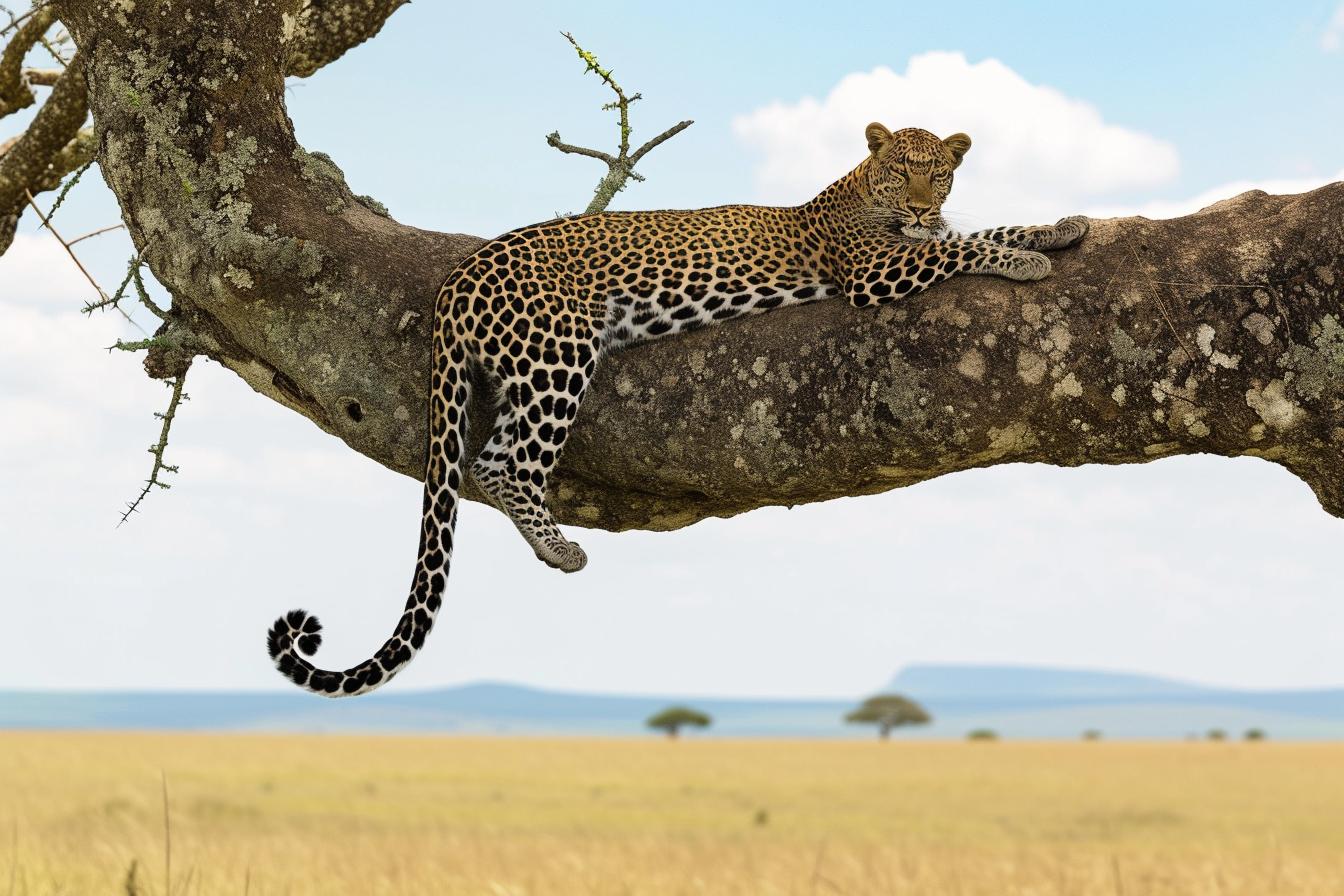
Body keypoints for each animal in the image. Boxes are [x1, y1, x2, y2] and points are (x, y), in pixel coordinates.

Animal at [267, 122, 1090, 696]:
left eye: (939, 173)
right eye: (900, 172)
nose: (921, 206)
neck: (859, 196)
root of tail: (457, 275)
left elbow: (982, 226)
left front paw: (1061, 226)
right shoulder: (874, 271)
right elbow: (963, 246)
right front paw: (1025, 259)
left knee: (494, 457)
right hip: (558, 353)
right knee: (502, 466)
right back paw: (560, 548)